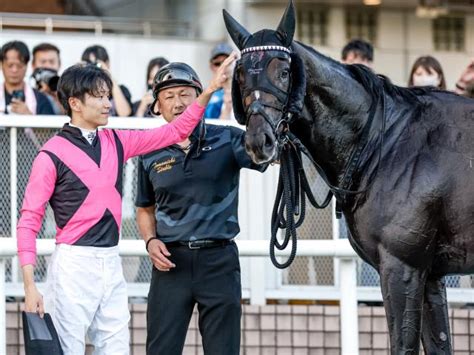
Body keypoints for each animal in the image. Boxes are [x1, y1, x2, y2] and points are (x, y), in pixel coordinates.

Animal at [224, 1, 474, 354]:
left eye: (284, 72)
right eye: (242, 74)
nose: (260, 141)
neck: (387, 142)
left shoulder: (402, 266)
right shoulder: (431, 273)